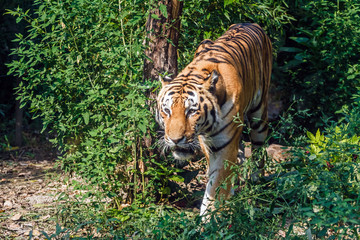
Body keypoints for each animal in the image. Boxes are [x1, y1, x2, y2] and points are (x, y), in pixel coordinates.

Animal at [156, 23, 272, 217]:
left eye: (191, 111)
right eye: (167, 111)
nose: (175, 140)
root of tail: (250, 23)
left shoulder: (224, 146)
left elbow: (216, 187)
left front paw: (210, 220)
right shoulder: (209, 144)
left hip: (259, 114)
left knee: (258, 150)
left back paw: (257, 184)